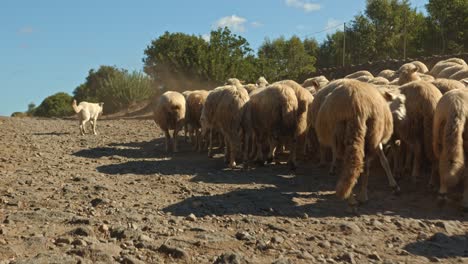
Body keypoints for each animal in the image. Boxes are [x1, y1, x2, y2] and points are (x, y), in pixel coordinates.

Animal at [314, 79, 398, 212]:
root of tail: (357, 106)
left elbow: (383, 160)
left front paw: (393, 184)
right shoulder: (377, 139)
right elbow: (382, 160)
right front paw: (393, 184)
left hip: (347, 135)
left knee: (354, 164)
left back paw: (355, 197)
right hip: (366, 135)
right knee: (359, 164)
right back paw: (358, 197)